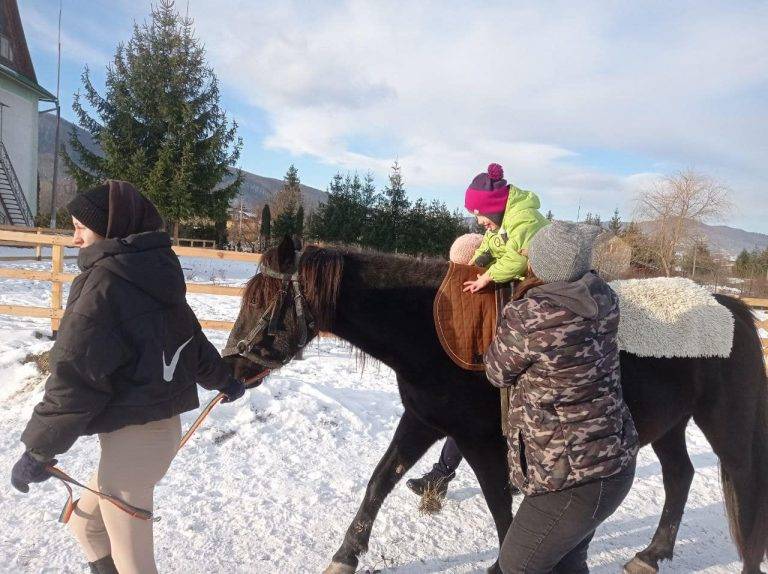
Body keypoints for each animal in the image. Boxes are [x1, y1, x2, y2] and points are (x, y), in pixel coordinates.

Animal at [224, 238, 768, 574]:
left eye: (262, 302)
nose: (231, 369)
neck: (433, 326)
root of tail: (733, 308)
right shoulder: (423, 420)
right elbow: (381, 479)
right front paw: (346, 554)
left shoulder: (479, 440)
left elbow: (501, 508)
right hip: (671, 425)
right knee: (680, 476)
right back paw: (653, 554)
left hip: (726, 425)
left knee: (742, 483)